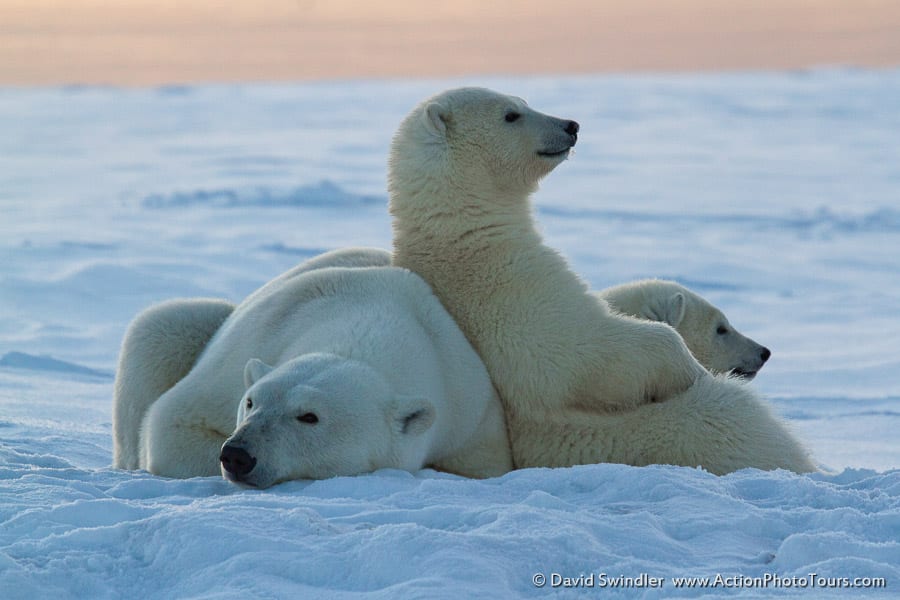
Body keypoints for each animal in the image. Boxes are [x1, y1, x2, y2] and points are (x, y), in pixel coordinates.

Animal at [114, 248, 512, 488]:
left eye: (309, 416)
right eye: (250, 401)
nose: (237, 455)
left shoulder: (468, 413)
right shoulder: (258, 341)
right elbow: (172, 421)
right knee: (160, 326)